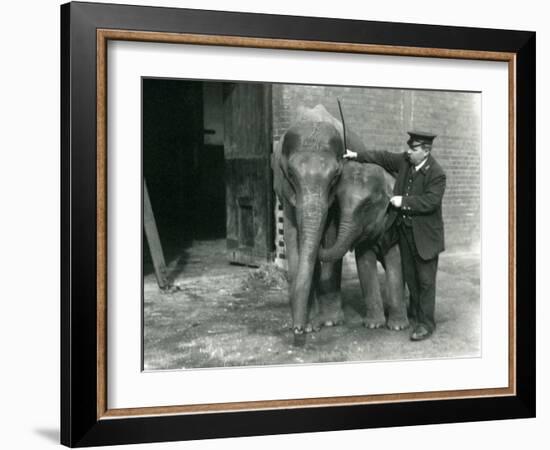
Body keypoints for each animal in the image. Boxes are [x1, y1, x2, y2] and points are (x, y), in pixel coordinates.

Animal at [316, 162, 412, 330]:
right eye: (338, 204)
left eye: (367, 205)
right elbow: (364, 262)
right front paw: (373, 325)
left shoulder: (394, 226)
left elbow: (396, 261)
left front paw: (397, 327)